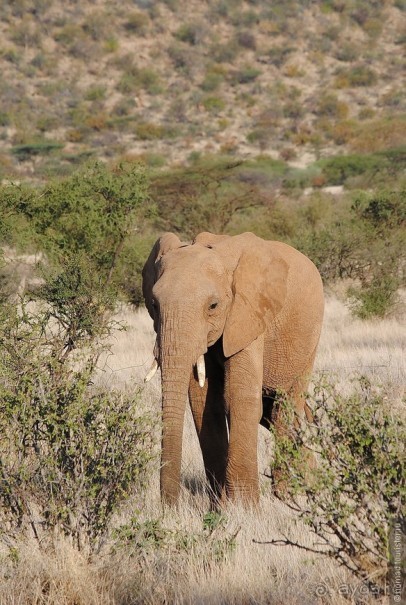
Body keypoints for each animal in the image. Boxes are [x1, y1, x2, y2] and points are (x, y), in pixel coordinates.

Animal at [143, 231, 324, 504]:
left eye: (213, 306)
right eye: (154, 304)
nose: (169, 507)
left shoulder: (249, 313)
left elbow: (240, 397)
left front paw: (243, 507)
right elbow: (204, 402)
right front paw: (219, 505)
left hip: (309, 339)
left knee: (286, 406)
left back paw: (287, 495)